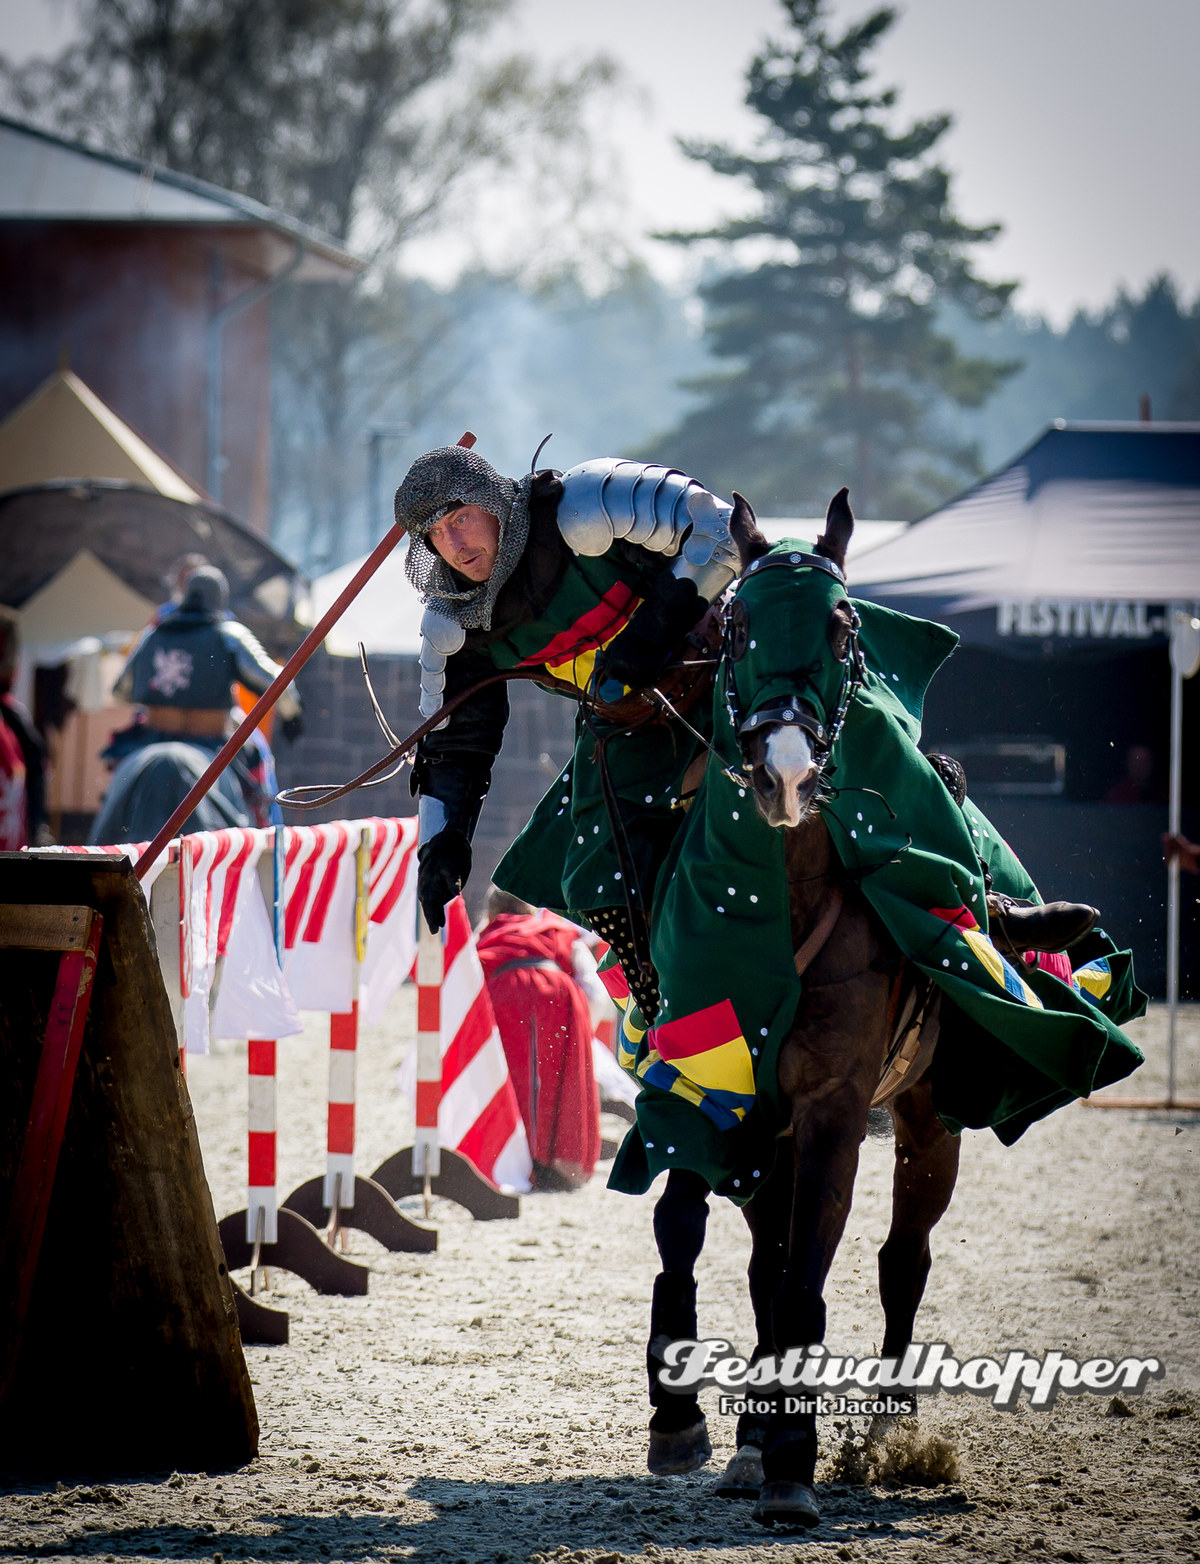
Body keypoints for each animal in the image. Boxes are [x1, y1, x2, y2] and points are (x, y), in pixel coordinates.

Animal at [638, 487, 957, 1526]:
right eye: (736, 626)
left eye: (843, 624)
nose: (785, 772)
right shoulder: (705, 1085)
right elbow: (686, 1230)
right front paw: (683, 1417)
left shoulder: (831, 1109)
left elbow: (809, 1278)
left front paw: (793, 1461)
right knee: (761, 1263)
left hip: (928, 1117)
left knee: (901, 1259)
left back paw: (885, 1430)